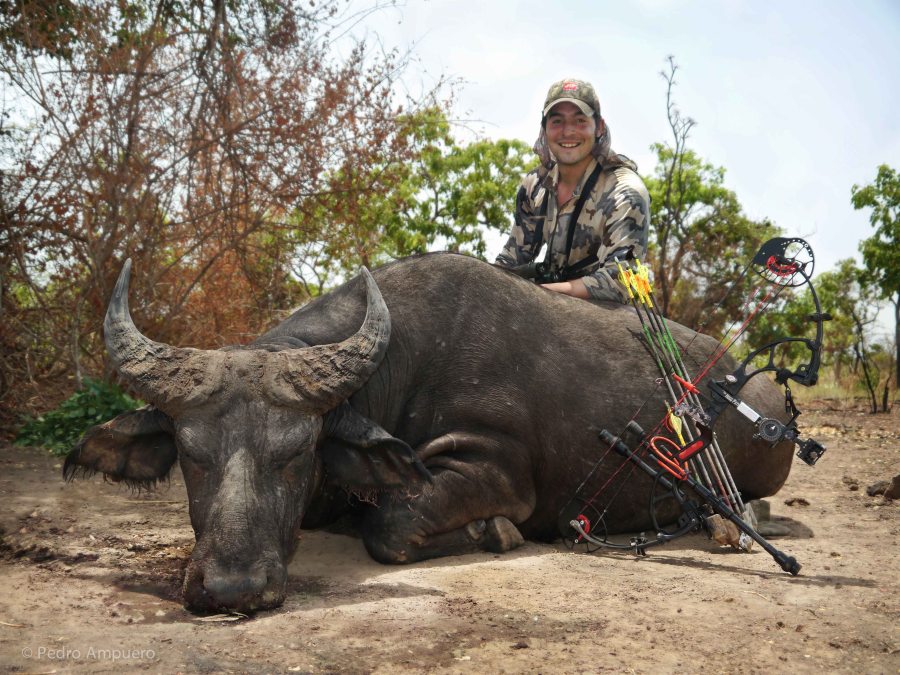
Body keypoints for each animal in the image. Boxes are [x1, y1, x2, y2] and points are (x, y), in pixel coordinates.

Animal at [64, 252, 794, 613]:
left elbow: (390, 526)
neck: (401, 360)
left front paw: (495, 532)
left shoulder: (494, 470)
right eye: (192, 456)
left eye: (296, 455)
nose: (230, 590)